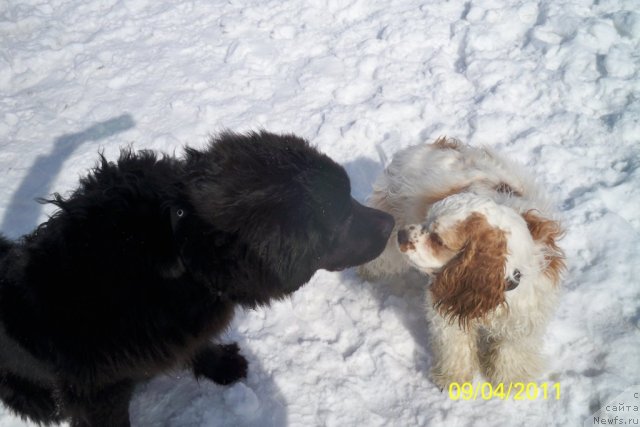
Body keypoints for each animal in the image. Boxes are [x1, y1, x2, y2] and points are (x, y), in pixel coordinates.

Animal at [0, 132, 396, 426]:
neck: (180, 248)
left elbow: (197, 344)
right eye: (342, 216)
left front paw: (220, 365)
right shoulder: (97, 392)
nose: (391, 223)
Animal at [360, 138, 564, 388]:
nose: (402, 235)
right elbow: (456, 348)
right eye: (426, 220)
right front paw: (452, 380)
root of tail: (419, 147)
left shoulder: (525, 317)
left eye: (438, 240)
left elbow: (512, 352)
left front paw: (511, 381)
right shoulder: (448, 306)